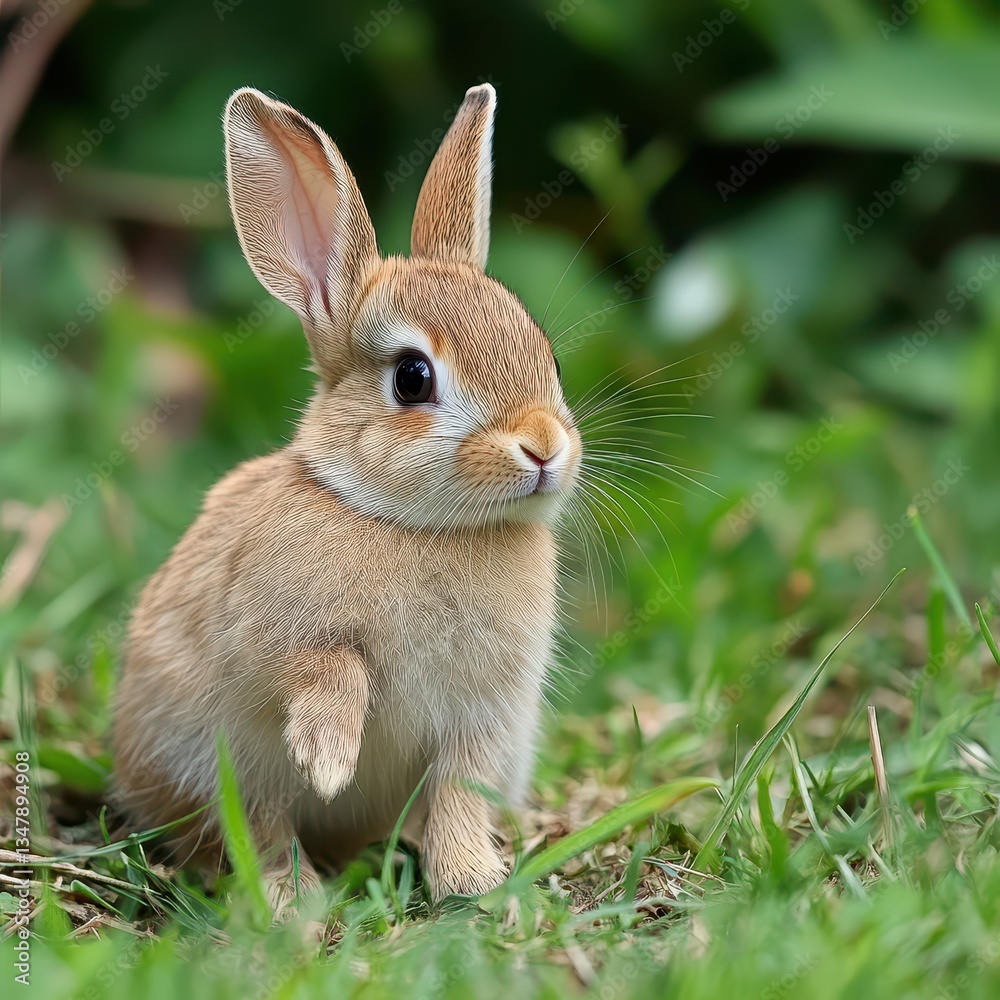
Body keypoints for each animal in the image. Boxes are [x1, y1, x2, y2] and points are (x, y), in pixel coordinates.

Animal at [112, 82, 582, 910]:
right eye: (413, 378)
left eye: (546, 356)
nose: (543, 447)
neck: (416, 525)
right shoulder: (275, 642)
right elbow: (331, 670)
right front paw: (330, 759)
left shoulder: (484, 718)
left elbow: (460, 792)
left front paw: (470, 882)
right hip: (219, 759)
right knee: (259, 827)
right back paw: (291, 903)